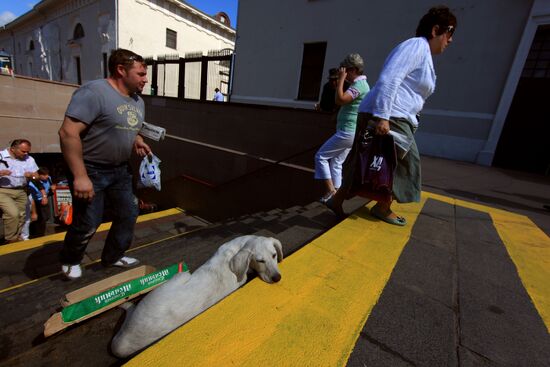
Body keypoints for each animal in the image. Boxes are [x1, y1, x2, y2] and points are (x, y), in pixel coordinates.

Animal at [111, 236, 284, 360]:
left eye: (274, 255)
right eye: (260, 260)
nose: (277, 278)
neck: (235, 250)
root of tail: (125, 339)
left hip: (180, 276)